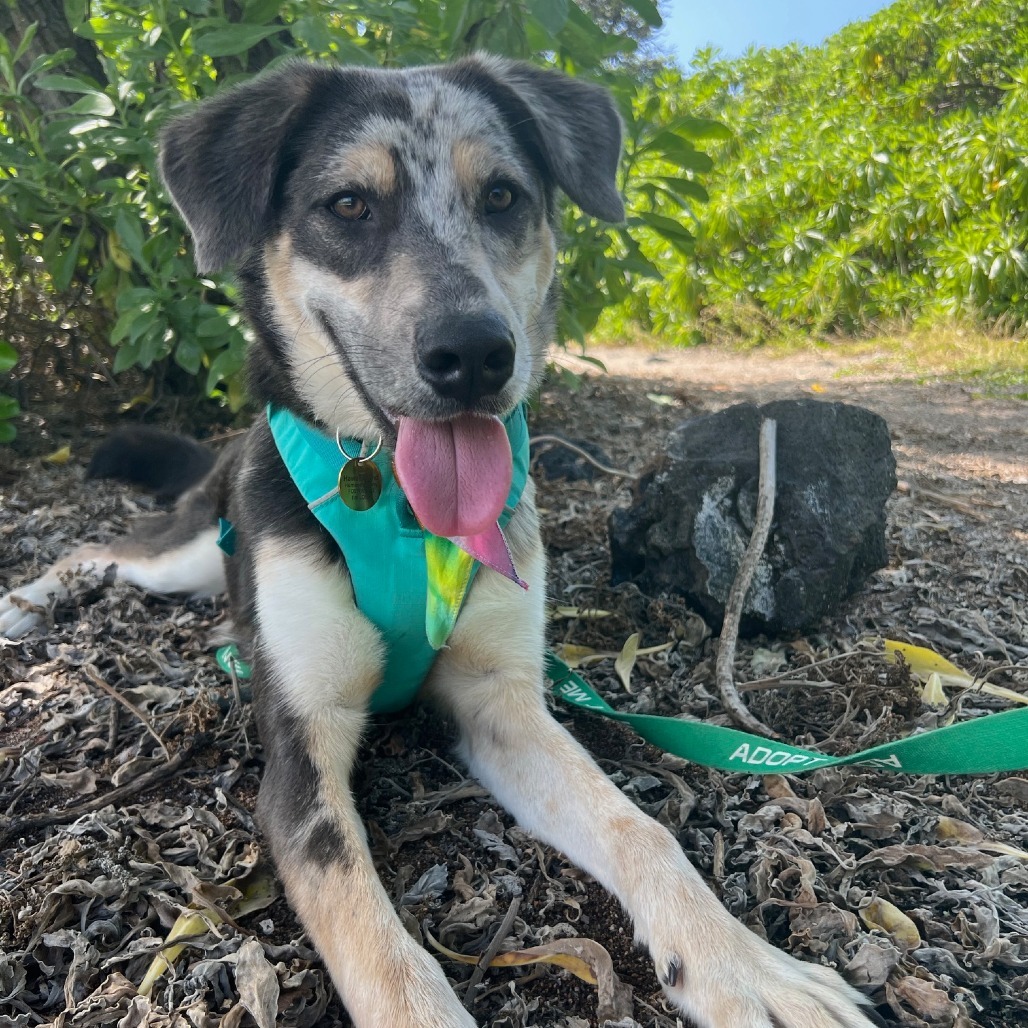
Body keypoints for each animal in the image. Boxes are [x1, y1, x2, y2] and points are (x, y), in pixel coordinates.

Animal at [2, 58, 884, 1028]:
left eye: (501, 196)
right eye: (349, 205)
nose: (473, 354)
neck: (395, 509)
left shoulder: (503, 704)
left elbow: (638, 827)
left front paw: (743, 965)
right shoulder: (300, 757)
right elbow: (376, 937)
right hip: (187, 551)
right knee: (95, 550)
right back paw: (23, 606)